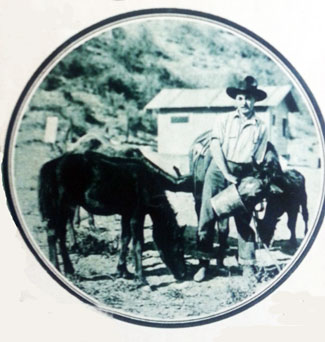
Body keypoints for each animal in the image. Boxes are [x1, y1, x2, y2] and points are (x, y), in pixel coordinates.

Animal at [39, 151, 187, 284]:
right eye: (179, 248)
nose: (183, 274)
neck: (147, 183)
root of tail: (50, 166)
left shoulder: (126, 214)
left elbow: (125, 239)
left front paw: (123, 271)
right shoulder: (137, 215)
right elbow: (138, 243)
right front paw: (140, 278)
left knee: (59, 235)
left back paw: (69, 271)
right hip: (61, 207)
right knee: (54, 234)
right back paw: (58, 268)